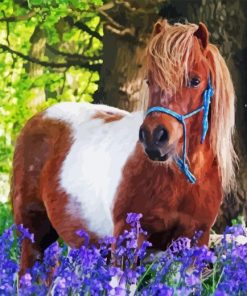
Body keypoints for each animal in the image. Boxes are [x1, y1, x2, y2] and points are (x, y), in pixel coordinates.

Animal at [11, 20, 237, 276]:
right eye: (149, 81)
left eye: (195, 80)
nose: (154, 137)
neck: (179, 181)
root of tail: (38, 118)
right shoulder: (128, 238)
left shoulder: (195, 240)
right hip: (33, 232)